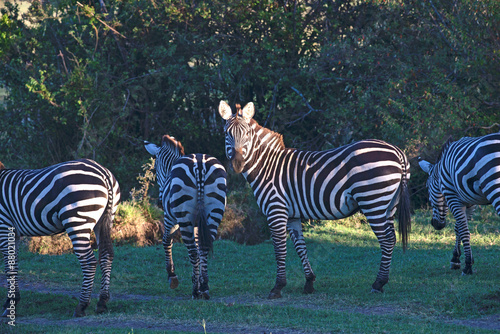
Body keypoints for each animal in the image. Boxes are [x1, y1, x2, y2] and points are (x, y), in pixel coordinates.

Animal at [0, 159, 120, 316]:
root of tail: (103, 172)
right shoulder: (15, 233)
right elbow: (14, 263)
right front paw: (13, 300)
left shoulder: (4, 225)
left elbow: (9, 266)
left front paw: (10, 303)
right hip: (105, 220)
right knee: (106, 255)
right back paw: (102, 303)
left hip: (77, 219)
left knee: (88, 261)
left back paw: (81, 306)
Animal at [144, 136, 228, 300]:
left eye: (155, 170)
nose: (159, 202)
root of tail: (200, 165)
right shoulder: (196, 224)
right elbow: (199, 247)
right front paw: (199, 280)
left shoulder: (170, 218)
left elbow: (166, 240)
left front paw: (172, 276)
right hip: (214, 211)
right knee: (203, 248)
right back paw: (204, 288)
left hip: (183, 216)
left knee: (193, 251)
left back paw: (195, 291)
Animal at [219, 100, 410, 298]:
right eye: (226, 133)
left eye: (247, 133)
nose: (237, 164)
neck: (267, 167)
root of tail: (397, 152)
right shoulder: (292, 215)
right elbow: (300, 247)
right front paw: (309, 282)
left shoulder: (276, 210)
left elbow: (280, 249)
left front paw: (278, 287)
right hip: (388, 204)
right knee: (392, 238)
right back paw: (382, 281)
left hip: (373, 201)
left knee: (386, 239)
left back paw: (378, 283)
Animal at [418, 132, 500, 276]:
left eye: (427, 187)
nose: (435, 224)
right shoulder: (470, 201)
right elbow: (458, 228)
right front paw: (456, 259)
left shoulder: (452, 195)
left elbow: (463, 229)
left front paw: (467, 266)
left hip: (493, 186)